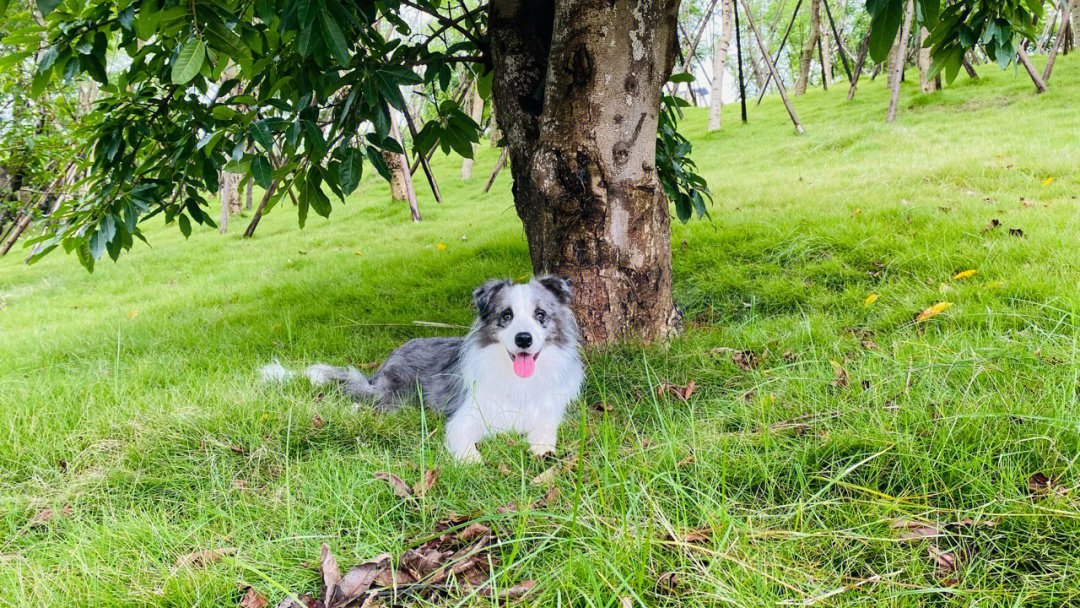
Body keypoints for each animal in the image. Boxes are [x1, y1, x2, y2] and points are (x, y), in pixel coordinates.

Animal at [260, 276, 583, 462]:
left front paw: (542, 449)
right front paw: (473, 462)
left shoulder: (547, 410)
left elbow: (545, 430)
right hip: (395, 397)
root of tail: (387, 361)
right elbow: (463, 441)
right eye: (506, 315)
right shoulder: (466, 416)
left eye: (540, 315)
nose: (523, 339)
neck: (517, 380)